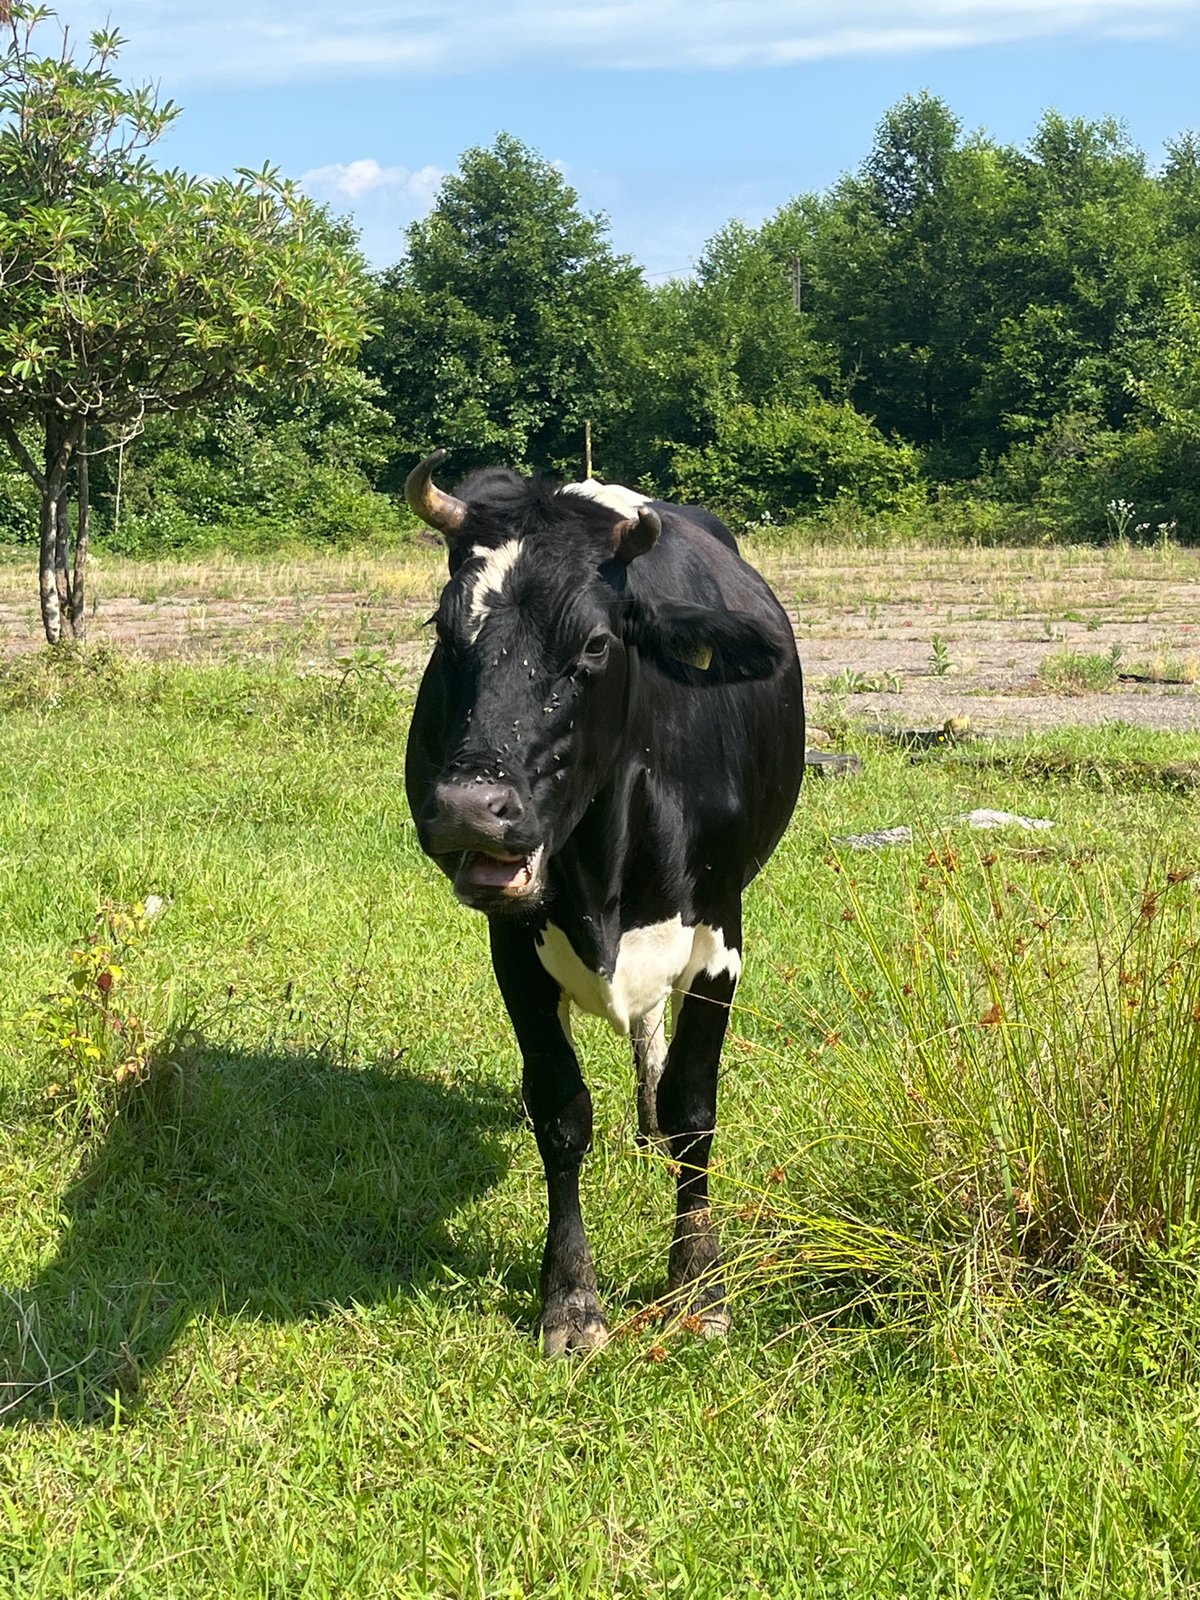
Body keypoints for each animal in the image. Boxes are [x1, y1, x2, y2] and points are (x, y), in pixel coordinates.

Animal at [404, 451, 805, 1355]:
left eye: (594, 643)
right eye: (447, 633)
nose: (470, 809)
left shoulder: (720, 940)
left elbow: (696, 1109)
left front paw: (698, 1279)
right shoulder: (515, 954)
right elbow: (559, 1113)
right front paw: (570, 1299)